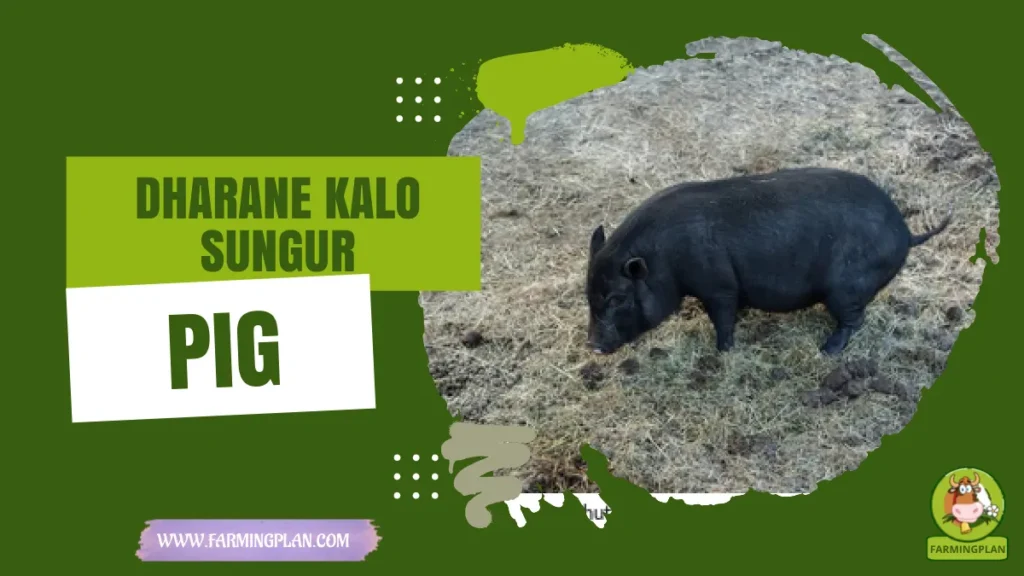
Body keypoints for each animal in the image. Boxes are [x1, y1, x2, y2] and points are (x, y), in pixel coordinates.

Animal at [585, 167, 952, 356]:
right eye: (588, 295)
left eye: (617, 298)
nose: (594, 347)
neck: (665, 259)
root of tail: (905, 233)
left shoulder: (718, 286)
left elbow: (722, 319)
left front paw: (722, 353)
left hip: (845, 287)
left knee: (855, 320)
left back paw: (827, 351)